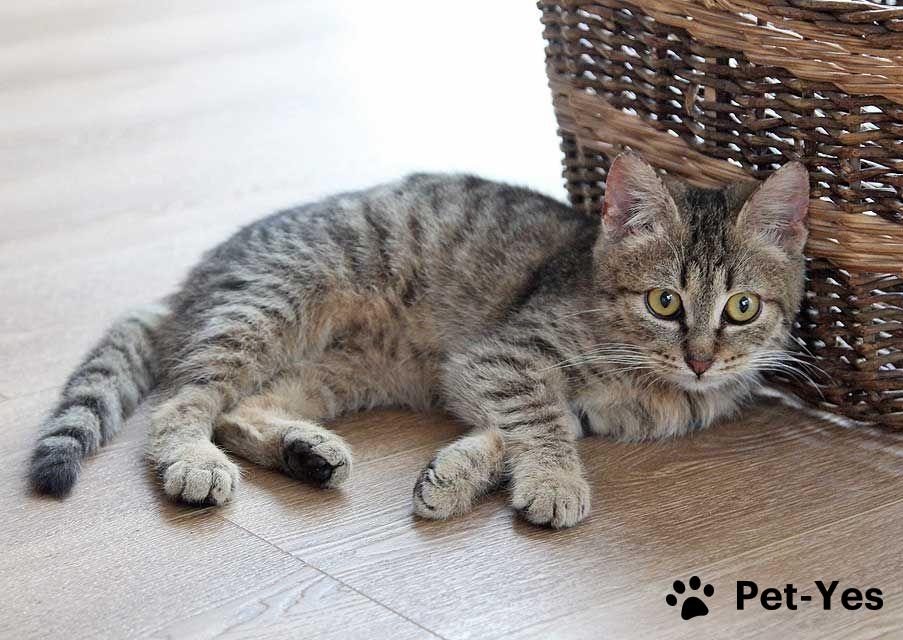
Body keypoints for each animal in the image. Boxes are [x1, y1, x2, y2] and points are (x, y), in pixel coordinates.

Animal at [29, 152, 810, 528]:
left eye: (742, 307)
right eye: (664, 301)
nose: (702, 359)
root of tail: (187, 287)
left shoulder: (521, 386)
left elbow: (527, 430)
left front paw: (461, 472)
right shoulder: (503, 358)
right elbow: (543, 424)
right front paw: (554, 483)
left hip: (338, 368)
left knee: (242, 408)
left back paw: (306, 451)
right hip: (270, 309)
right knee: (185, 402)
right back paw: (193, 461)